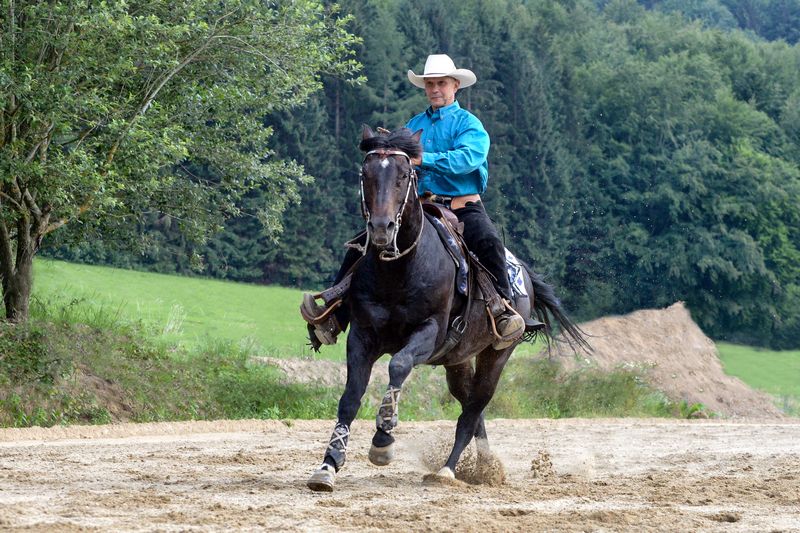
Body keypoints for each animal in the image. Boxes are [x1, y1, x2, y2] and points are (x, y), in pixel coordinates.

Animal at [306, 125, 588, 490]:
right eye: (366, 174)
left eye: (403, 175)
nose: (381, 229)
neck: (400, 270)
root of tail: (522, 272)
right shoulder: (362, 336)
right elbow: (350, 397)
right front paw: (329, 464)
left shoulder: (429, 333)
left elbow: (398, 365)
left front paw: (383, 439)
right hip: (458, 361)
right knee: (470, 406)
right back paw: (485, 468)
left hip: (496, 356)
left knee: (473, 409)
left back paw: (448, 470)